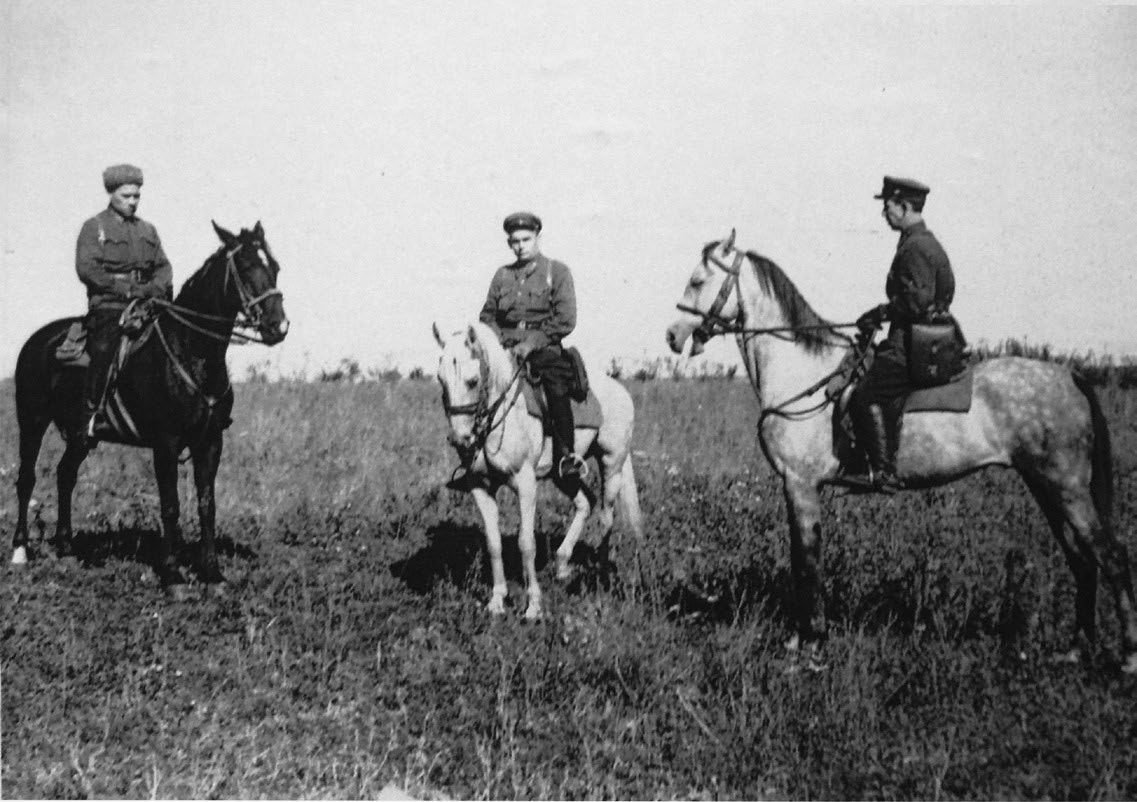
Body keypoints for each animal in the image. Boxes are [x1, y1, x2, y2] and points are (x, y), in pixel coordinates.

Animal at [10, 221, 288, 596]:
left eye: (274, 267)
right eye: (245, 267)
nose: (278, 327)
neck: (191, 351)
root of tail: (36, 341)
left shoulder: (210, 441)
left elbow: (207, 504)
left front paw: (212, 572)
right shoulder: (166, 443)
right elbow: (170, 506)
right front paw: (173, 575)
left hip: (81, 436)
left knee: (65, 475)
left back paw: (67, 549)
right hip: (32, 421)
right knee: (26, 479)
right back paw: (20, 550)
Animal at [429, 323, 641, 614]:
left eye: (472, 381)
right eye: (441, 379)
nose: (461, 439)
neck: (500, 414)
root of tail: (621, 391)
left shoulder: (525, 484)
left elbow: (526, 544)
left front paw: (533, 605)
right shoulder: (479, 487)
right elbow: (493, 543)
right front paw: (497, 600)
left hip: (612, 464)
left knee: (606, 517)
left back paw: (601, 577)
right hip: (564, 473)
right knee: (585, 502)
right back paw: (562, 564)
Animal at [664, 229, 1137, 668]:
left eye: (697, 280)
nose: (672, 335)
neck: (804, 374)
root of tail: (1068, 375)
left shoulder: (801, 484)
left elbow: (806, 561)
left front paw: (810, 640)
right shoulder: (797, 487)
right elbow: (803, 558)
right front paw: (805, 636)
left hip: (1066, 487)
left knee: (1111, 556)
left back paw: (1127, 655)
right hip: (1047, 487)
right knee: (1082, 560)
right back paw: (1075, 649)